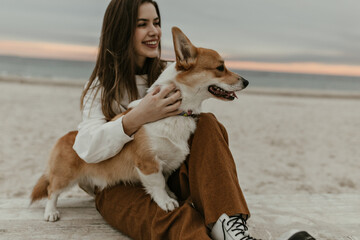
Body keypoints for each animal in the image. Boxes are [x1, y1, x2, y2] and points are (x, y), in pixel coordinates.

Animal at [31, 26, 249, 221]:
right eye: (220, 68)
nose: (247, 82)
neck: (178, 114)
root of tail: (65, 137)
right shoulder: (148, 163)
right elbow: (158, 184)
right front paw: (166, 202)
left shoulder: (165, 165)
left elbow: (165, 182)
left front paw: (170, 194)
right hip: (64, 176)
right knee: (52, 190)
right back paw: (51, 212)